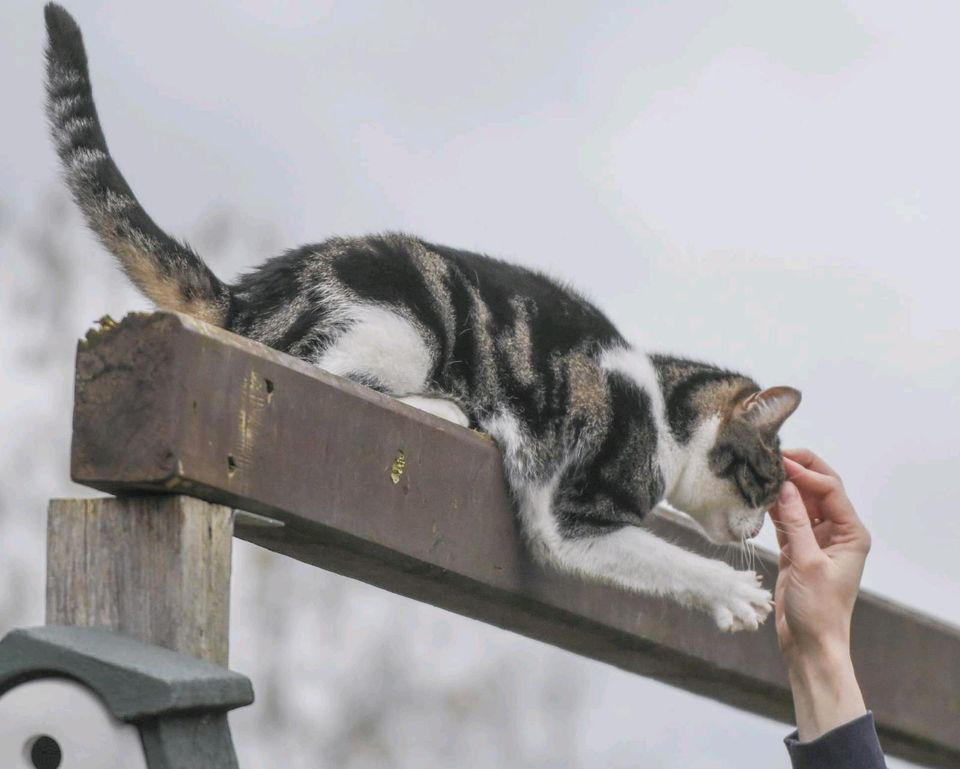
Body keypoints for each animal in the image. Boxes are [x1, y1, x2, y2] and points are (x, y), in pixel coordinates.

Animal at [43, 3, 804, 632]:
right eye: (767, 483)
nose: (758, 533)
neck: (663, 410)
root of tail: (249, 294)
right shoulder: (572, 513)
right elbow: (658, 557)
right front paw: (734, 592)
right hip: (399, 330)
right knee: (315, 370)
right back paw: (447, 410)